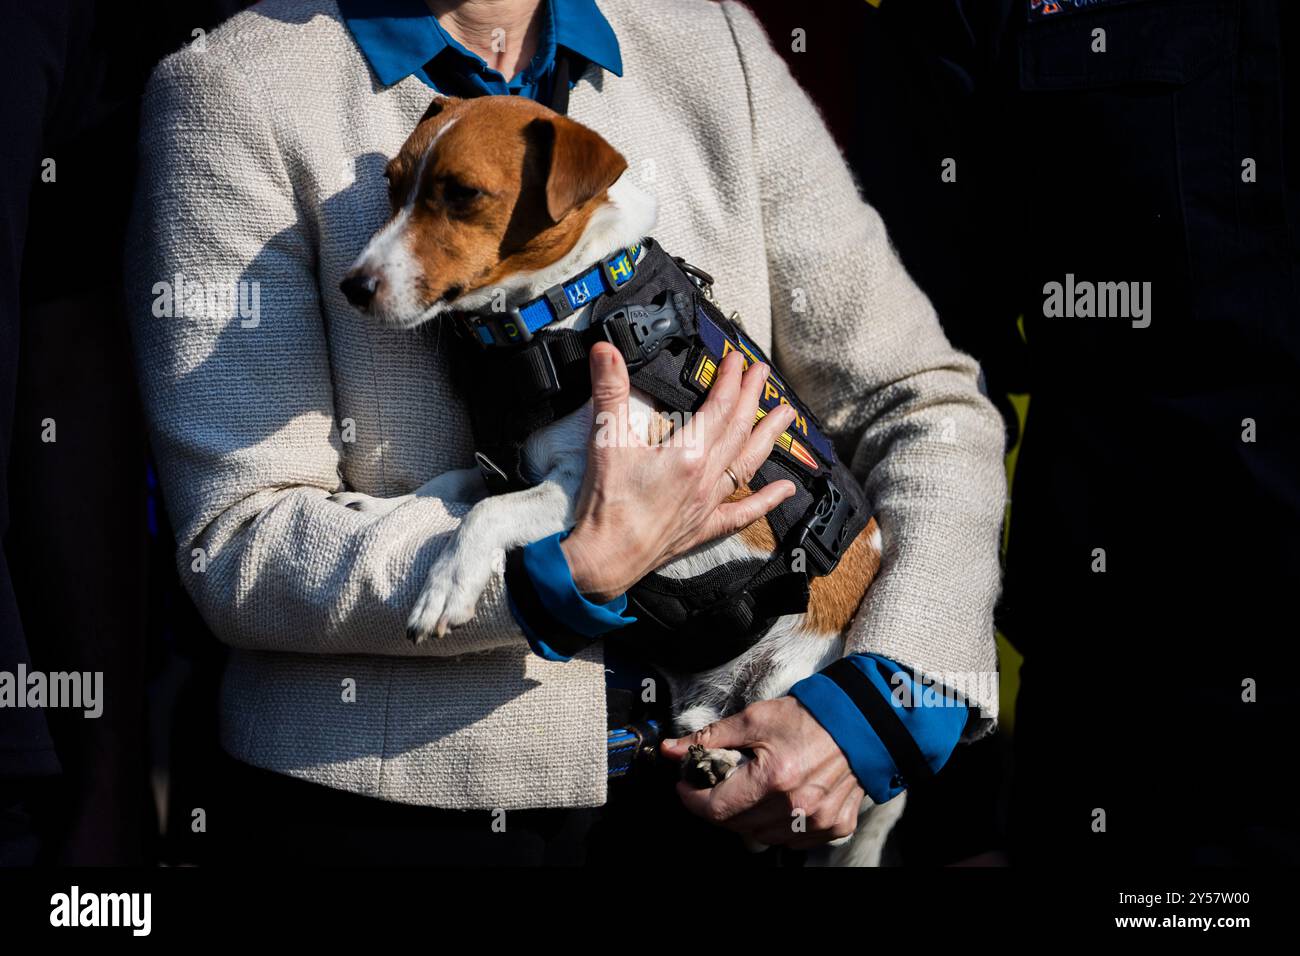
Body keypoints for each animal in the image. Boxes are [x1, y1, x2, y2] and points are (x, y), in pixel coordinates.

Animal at [340, 97, 899, 868]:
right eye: (393, 186)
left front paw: (448, 584)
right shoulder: (507, 466)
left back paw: (731, 760)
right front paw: (378, 503)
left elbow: (488, 514)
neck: (562, 309)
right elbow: (449, 487)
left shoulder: (594, 489)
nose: (353, 285)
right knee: (702, 721)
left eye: (463, 194)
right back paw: (707, 752)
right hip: (705, 698)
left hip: (803, 662)